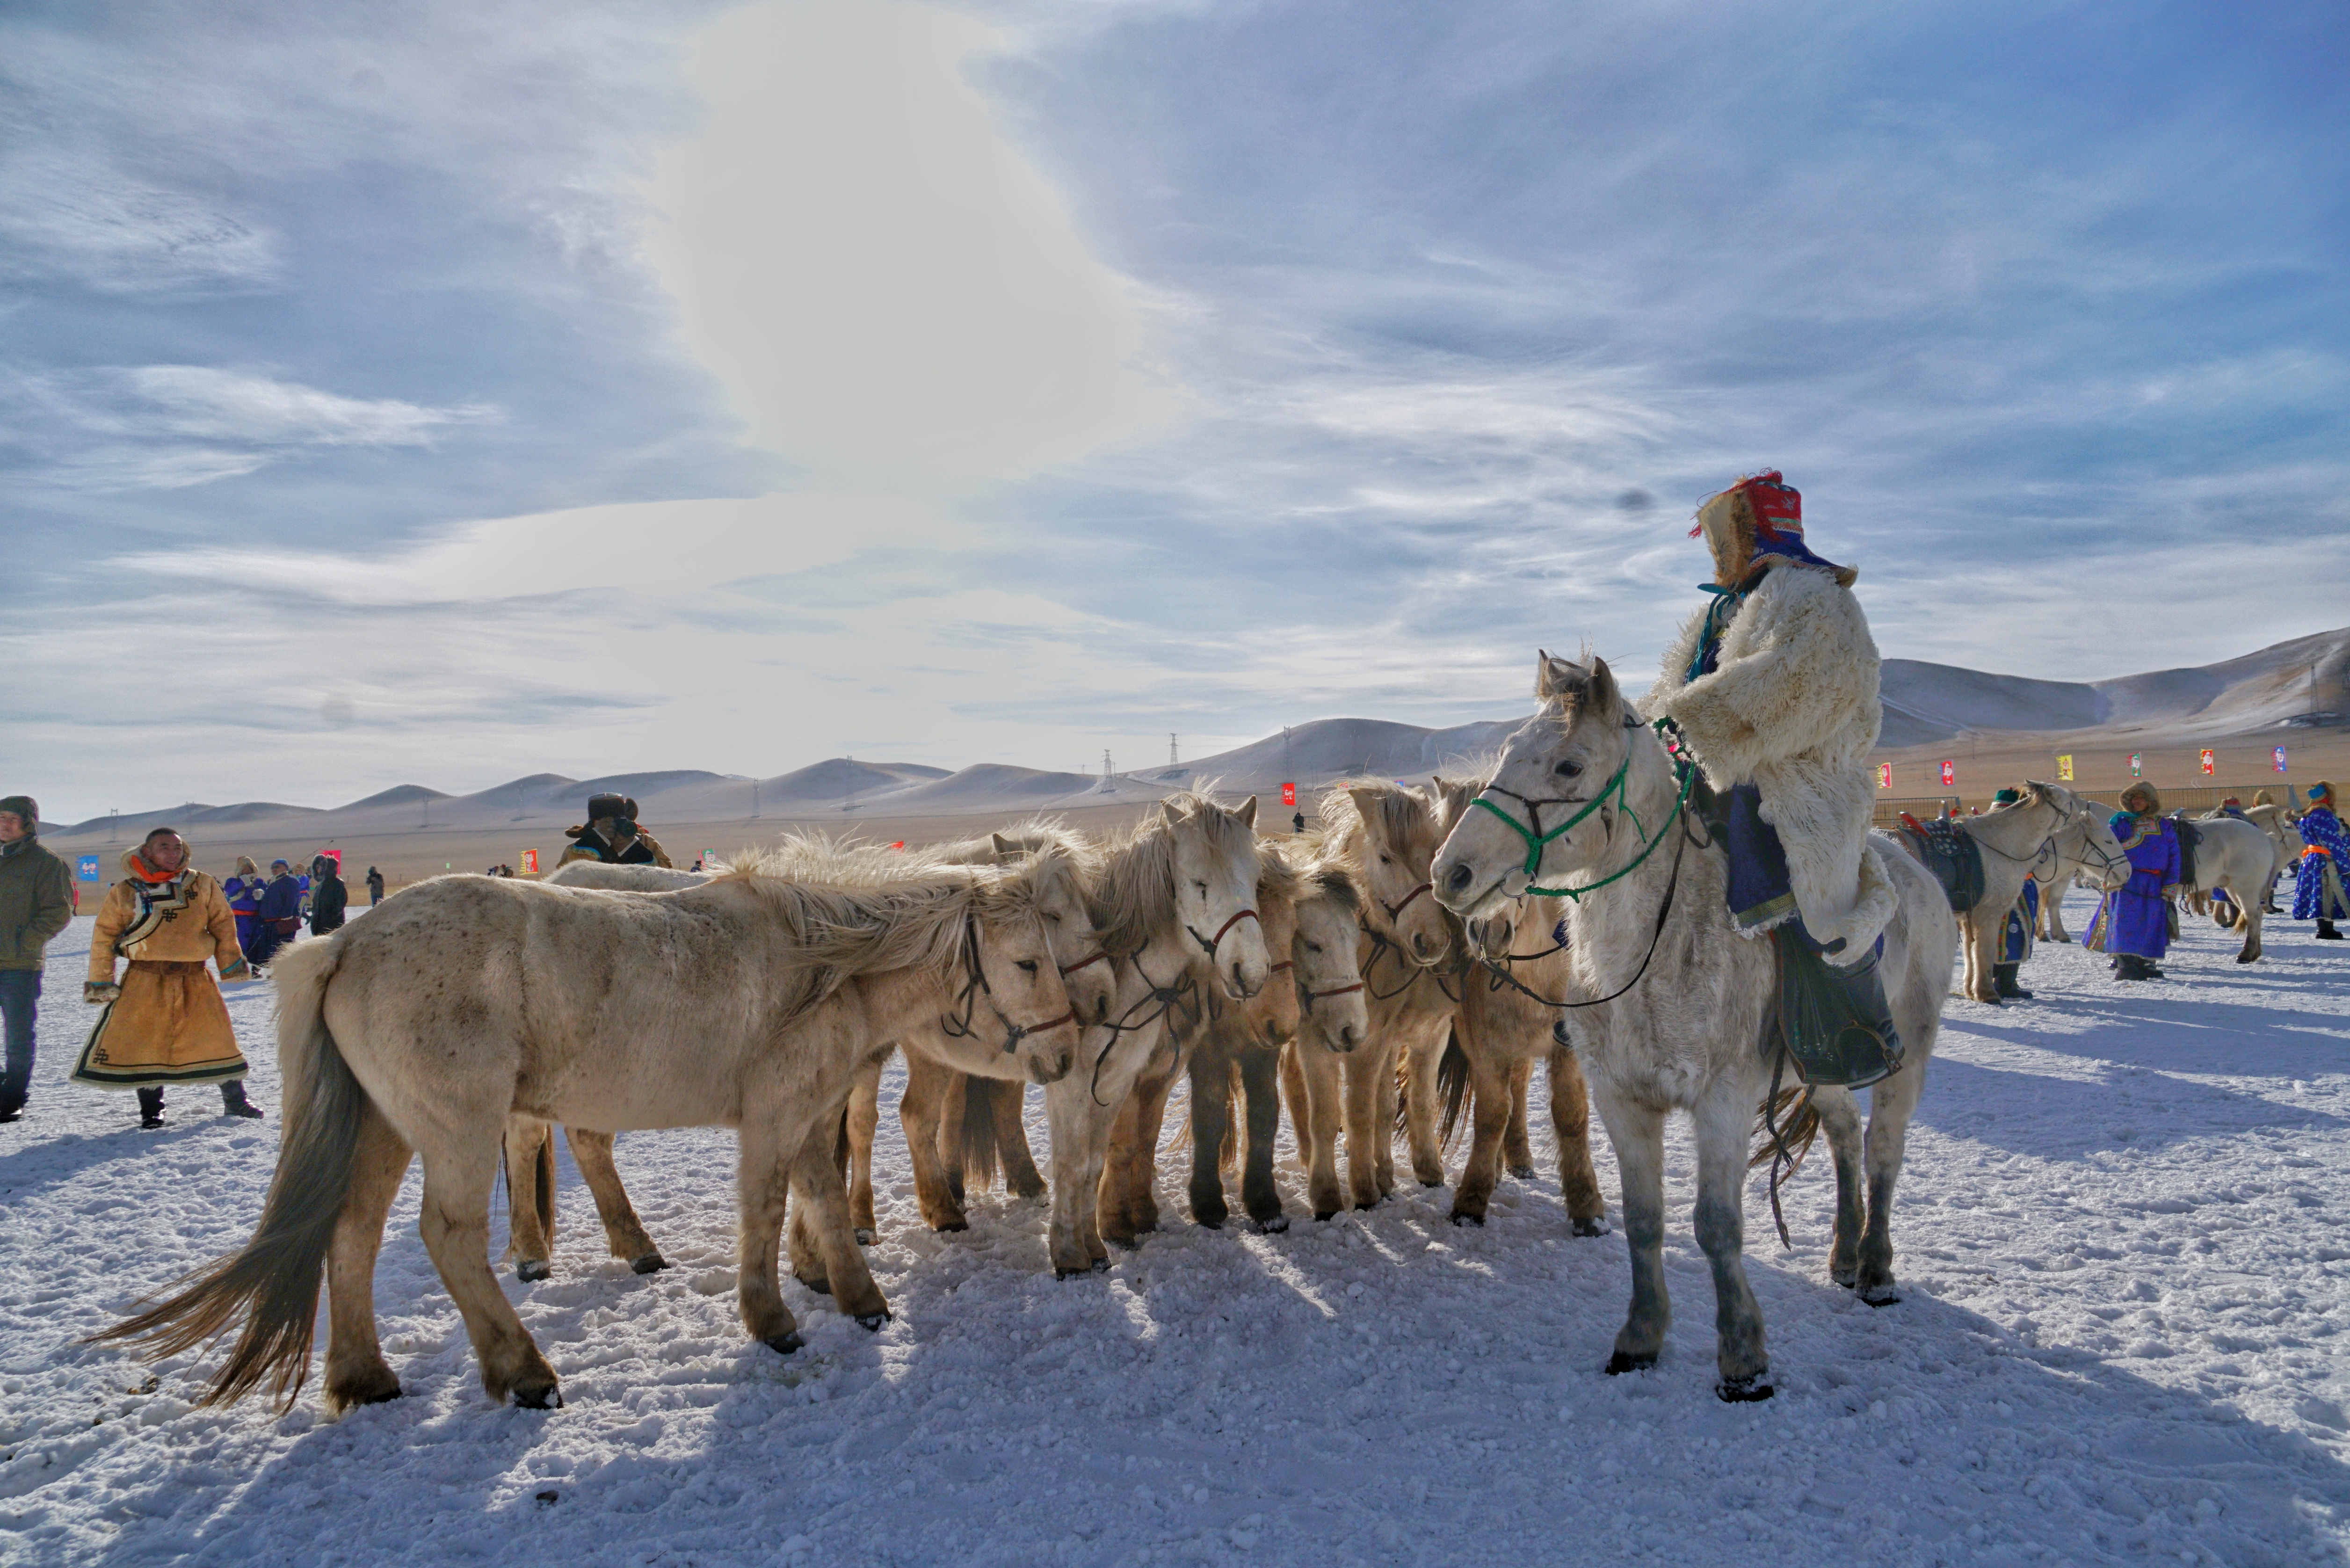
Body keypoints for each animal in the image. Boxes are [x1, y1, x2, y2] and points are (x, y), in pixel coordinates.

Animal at [1429, 649, 1965, 1401]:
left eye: (1567, 765)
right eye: (1508, 752)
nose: (1451, 872)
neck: (1659, 943)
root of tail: (1915, 869)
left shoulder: (1723, 1099)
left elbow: (1716, 1225)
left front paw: (1743, 1358)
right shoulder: (1622, 1099)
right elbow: (1643, 1219)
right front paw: (1639, 1338)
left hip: (1907, 1054)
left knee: (1884, 1148)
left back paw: (1877, 1271)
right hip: (1821, 1069)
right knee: (1843, 1137)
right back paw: (1842, 1254)